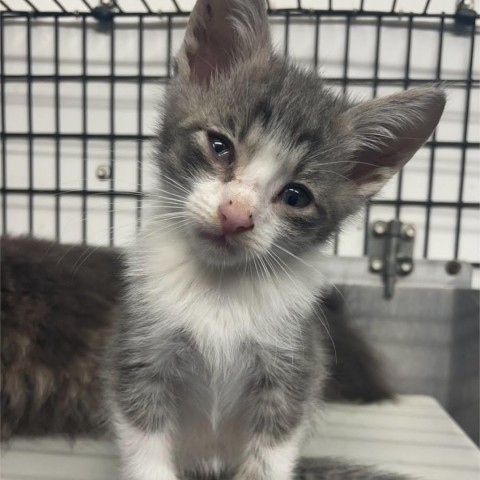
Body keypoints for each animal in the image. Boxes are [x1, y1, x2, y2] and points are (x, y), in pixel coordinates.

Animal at [106, 0, 446, 478]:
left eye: (296, 196)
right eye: (220, 146)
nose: (235, 215)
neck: (220, 290)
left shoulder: (291, 371)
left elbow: (274, 448)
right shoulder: (141, 354)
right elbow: (144, 441)